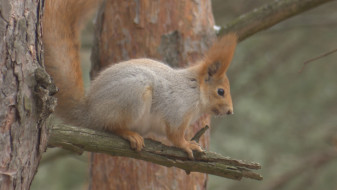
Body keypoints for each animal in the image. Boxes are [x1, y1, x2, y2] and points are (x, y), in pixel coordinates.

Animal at [42, 0, 236, 159]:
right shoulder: (178, 110)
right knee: (109, 126)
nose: (230, 112)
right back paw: (128, 134)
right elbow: (175, 135)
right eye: (221, 91)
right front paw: (187, 144)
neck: (195, 90)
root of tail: (90, 113)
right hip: (133, 94)